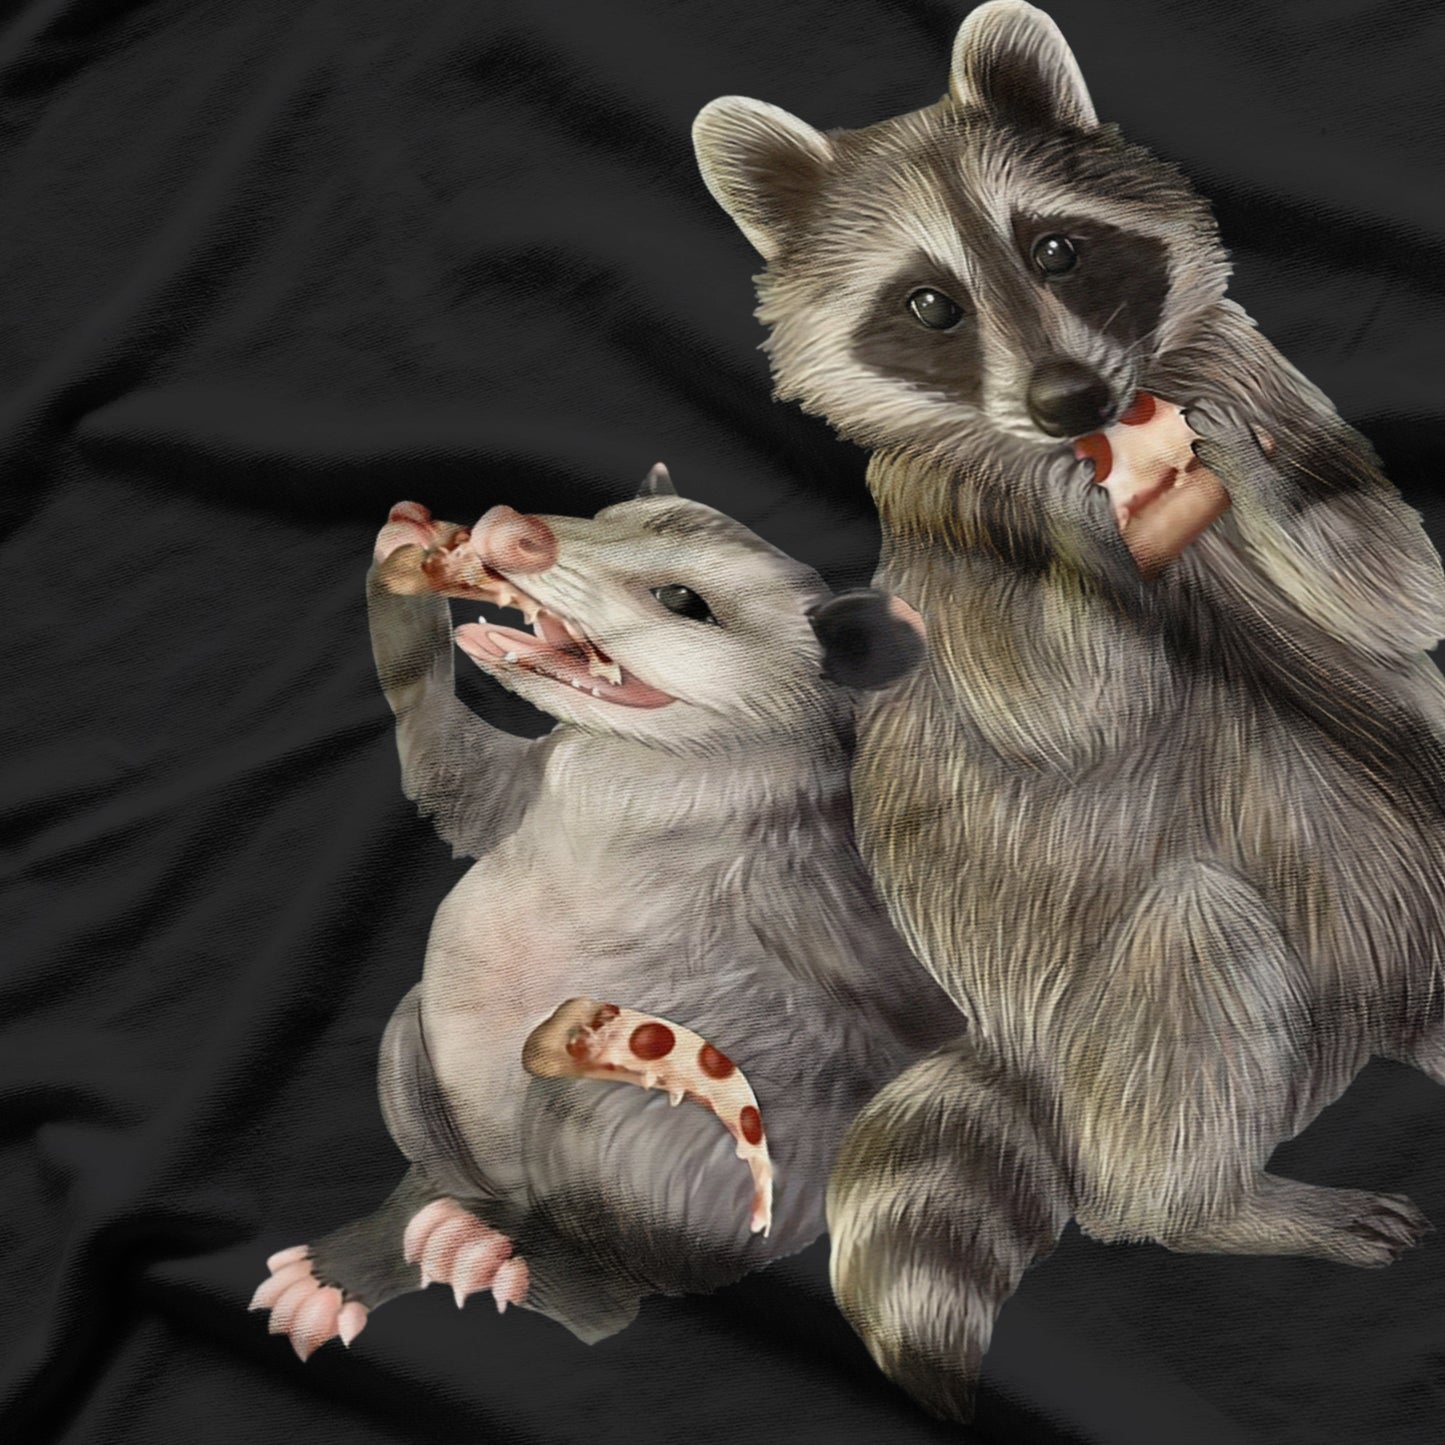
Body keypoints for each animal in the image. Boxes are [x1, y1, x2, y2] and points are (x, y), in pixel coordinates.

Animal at [250, 466, 962, 1360]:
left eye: (683, 599)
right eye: (604, 515)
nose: (510, 526)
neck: (634, 772)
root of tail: (509, 1198)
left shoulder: (821, 899)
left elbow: (900, 999)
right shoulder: (519, 789)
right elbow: (441, 756)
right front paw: (403, 545)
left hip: (652, 1160)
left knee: (609, 1288)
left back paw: (507, 1255)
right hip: (415, 1058)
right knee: (430, 1152)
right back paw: (368, 1255)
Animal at [694, 0, 1445, 1422]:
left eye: (1056, 247)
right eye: (929, 304)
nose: (1073, 403)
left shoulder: (1265, 379)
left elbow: (1394, 591)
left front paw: (1254, 484)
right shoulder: (943, 545)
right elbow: (1063, 708)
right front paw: (1087, 529)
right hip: (1121, 1010)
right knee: (1190, 959)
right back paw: (1212, 1203)